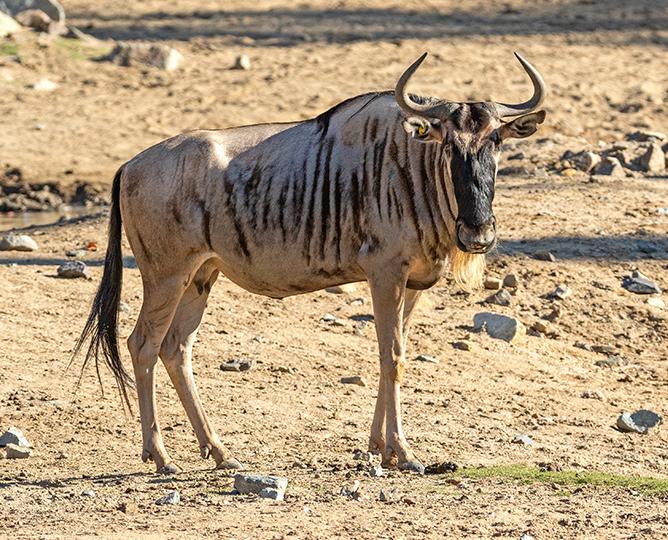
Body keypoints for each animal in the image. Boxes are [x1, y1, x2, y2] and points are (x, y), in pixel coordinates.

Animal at [75, 52, 546, 474]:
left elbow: (393, 356)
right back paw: (161, 456)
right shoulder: (384, 274)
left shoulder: (411, 284)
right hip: (166, 277)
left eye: (497, 142)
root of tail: (130, 165)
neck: (411, 166)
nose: (478, 232)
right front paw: (404, 453)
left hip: (200, 277)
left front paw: (379, 449)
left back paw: (221, 453)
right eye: (449, 145)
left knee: (176, 349)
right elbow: (392, 357)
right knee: (143, 345)